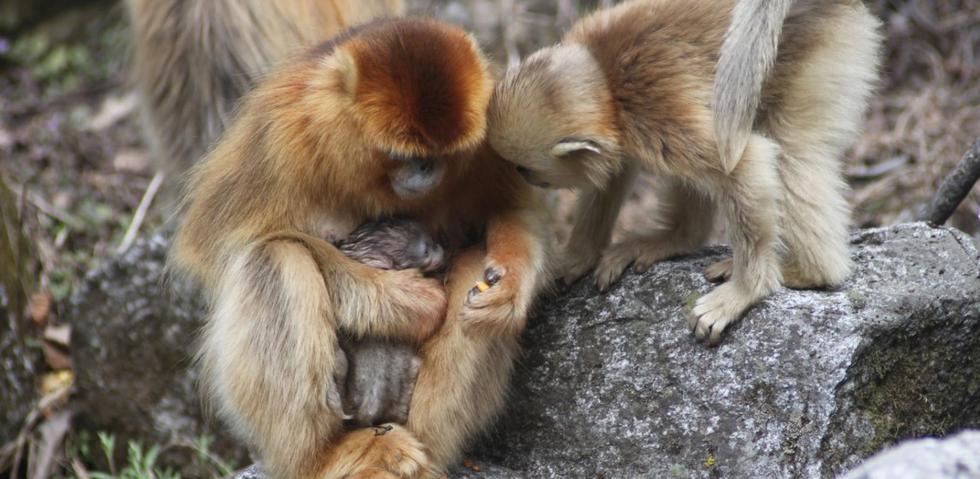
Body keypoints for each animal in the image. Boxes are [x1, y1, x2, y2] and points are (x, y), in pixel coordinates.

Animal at [169, 18, 552, 479]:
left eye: (440, 153)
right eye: (402, 153)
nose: (426, 168)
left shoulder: (489, 130)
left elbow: (510, 212)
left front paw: (509, 285)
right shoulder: (282, 129)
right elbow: (220, 249)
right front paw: (405, 300)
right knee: (271, 259)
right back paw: (323, 457)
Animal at [490, 0, 880, 344]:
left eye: (525, 169)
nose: (526, 179)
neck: (609, 81)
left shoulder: (652, 112)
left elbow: (743, 163)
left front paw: (744, 291)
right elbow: (616, 169)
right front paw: (578, 255)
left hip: (822, 49)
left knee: (788, 149)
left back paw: (811, 272)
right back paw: (676, 239)